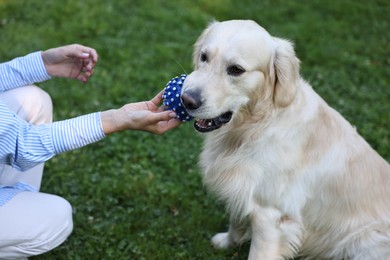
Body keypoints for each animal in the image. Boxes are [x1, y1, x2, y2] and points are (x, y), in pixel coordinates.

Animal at [181, 20, 390, 260]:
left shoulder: (272, 217)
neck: (255, 126)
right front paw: (227, 241)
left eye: (236, 70)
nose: (186, 100)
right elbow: (236, 220)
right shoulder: (242, 187)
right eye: (204, 56)